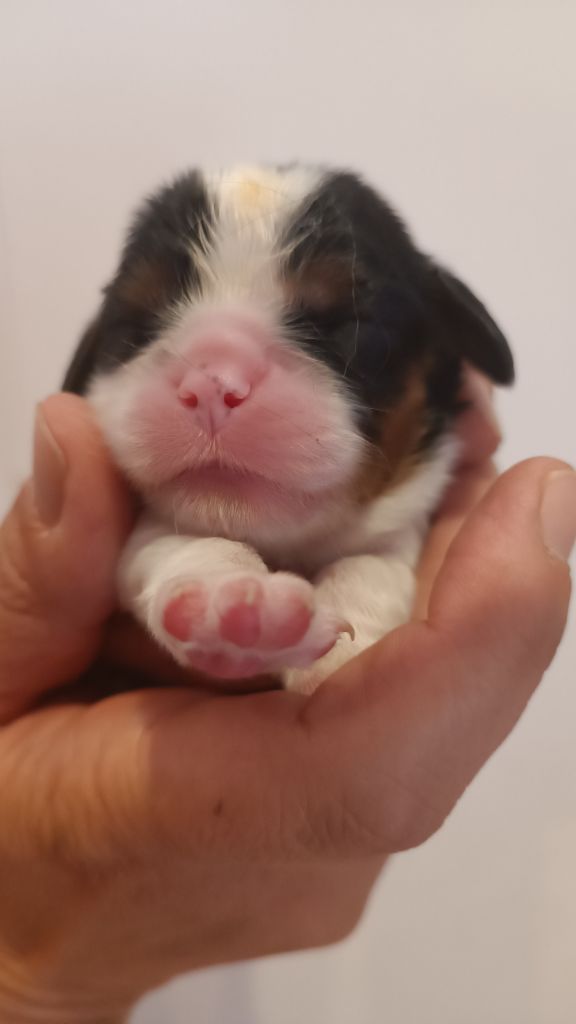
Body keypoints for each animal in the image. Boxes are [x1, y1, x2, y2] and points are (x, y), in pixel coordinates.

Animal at [63, 164, 513, 693]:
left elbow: (375, 560)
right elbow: (176, 543)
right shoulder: (156, 535)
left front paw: (345, 645)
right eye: (137, 327)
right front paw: (235, 606)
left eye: (347, 327)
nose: (212, 385)